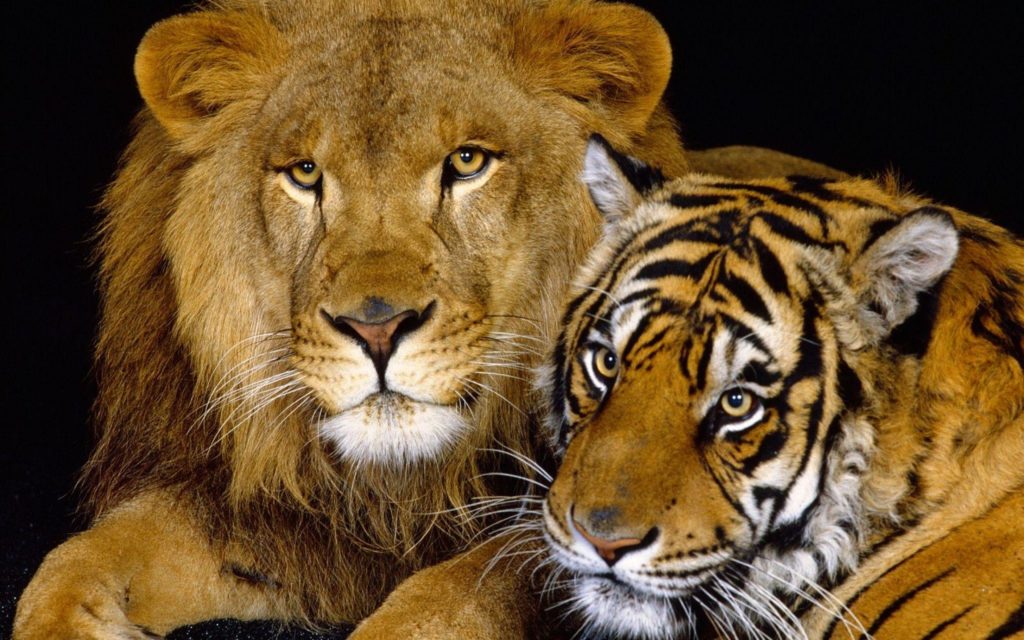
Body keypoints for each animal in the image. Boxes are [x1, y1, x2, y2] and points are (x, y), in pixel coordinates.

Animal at [13, 1, 842, 638]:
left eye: (468, 162)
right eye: (305, 174)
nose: (377, 328)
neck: (404, 485)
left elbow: (459, 592)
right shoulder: (287, 520)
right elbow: (82, 559)